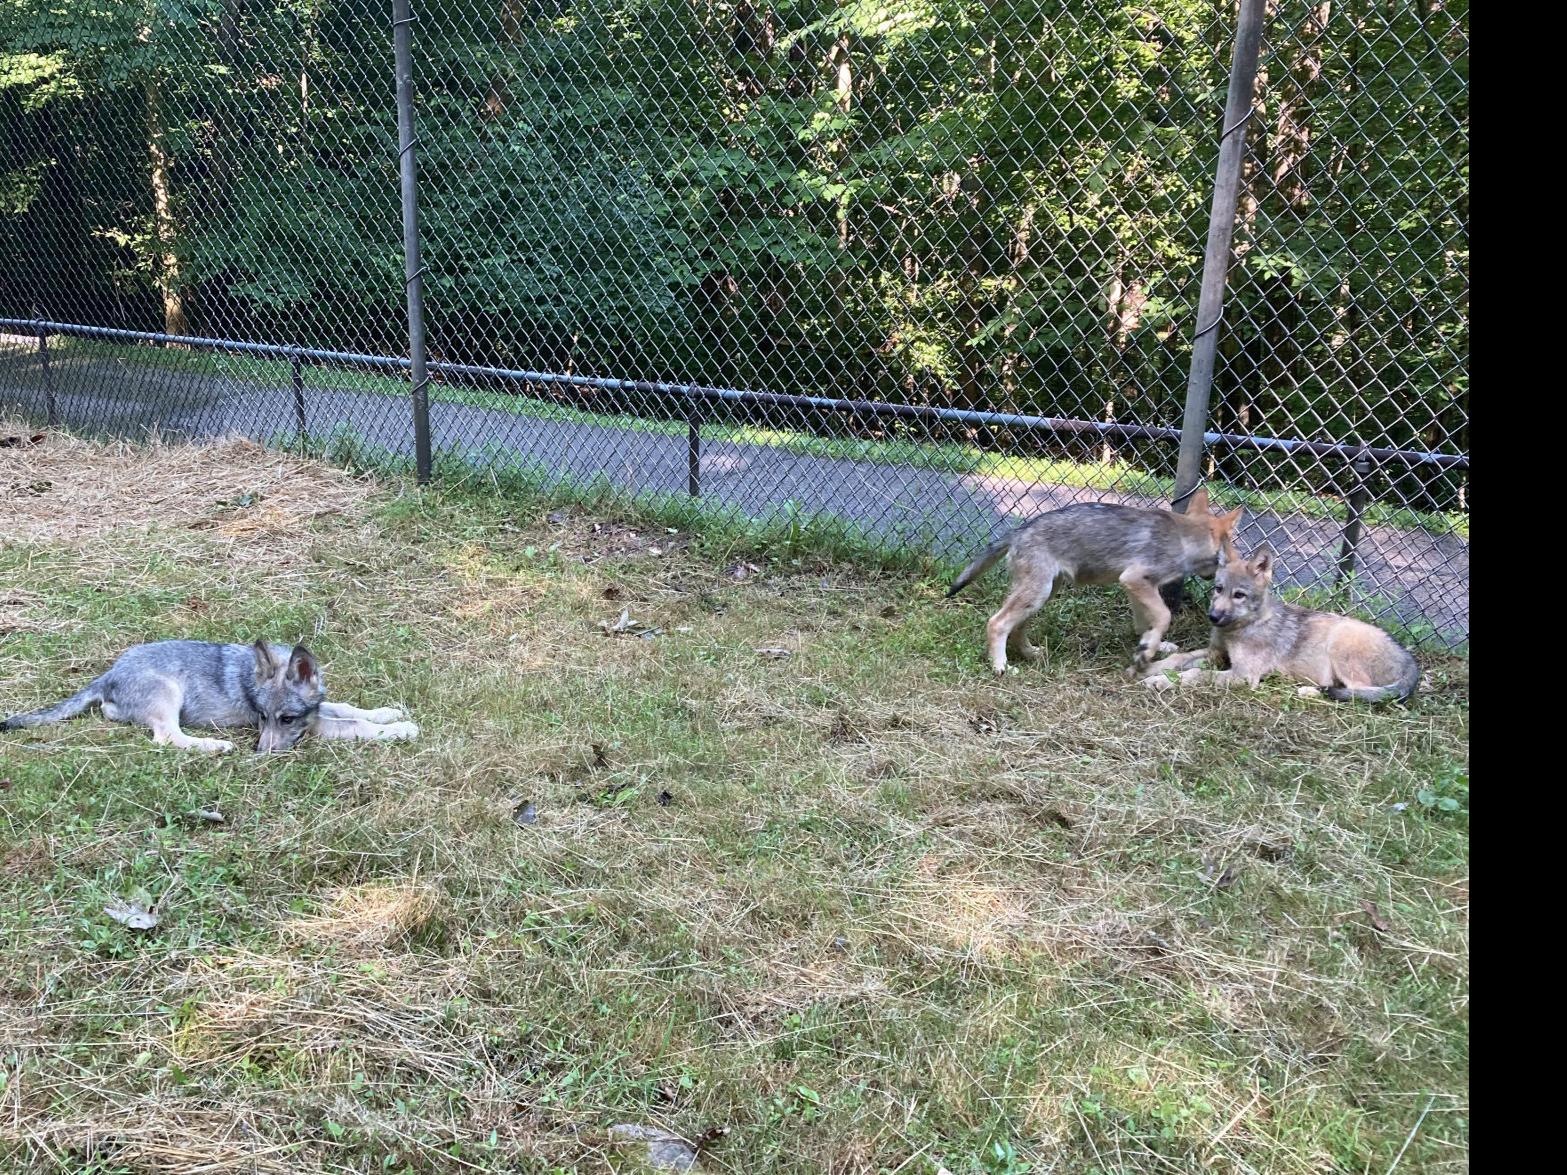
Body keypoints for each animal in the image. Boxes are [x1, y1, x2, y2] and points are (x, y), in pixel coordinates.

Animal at [2, 640, 418, 753]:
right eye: (261, 716)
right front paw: (400, 730)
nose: (259, 753)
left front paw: (388, 712)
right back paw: (215, 745)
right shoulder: (316, 728)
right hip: (169, 696)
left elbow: (350, 708)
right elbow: (355, 723)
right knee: (168, 738)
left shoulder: (314, 713)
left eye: (284, 719)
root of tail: (107, 676)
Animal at [946, 489, 1245, 674]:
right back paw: (1001, 667)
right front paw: (1147, 651)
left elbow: (1144, 624)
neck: (1184, 539)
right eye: (1231, 546)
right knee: (997, 623)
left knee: (1016, 628)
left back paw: (1031, 654)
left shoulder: (1135, 586)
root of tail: (1018, 530)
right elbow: (1163, 616)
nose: (1236, 560)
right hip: (1037, 594)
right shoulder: (1135, 579)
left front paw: (1150, 645)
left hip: (1042, 595)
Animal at [1135, 545, 1420, 702]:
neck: (1242, 627)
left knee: (1359, 693)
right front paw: (1150, 668)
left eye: (1239, 595)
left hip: (1342, 645)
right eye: (1218, 589)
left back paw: (1311, 693)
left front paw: (1161, 681)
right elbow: (1179, 659)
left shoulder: (1243, 675)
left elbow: (1195, 675)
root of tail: (1411, 662)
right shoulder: (1216, 654)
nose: (1213, 618)